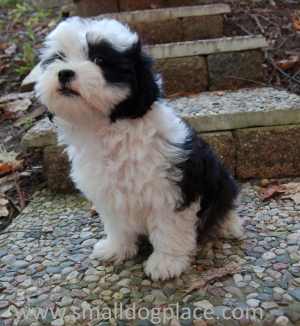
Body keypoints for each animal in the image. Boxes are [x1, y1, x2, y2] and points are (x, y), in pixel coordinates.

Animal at [34, 17, 243, 280]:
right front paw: (116, 248)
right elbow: (117, 225)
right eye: (59, 57)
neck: (109, 129)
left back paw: (228, 225)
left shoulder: (170, 189)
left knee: (224, 204)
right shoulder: (109, 194)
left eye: (99, 60)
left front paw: (166, 262)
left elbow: (169, 227)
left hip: (220, 181)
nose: (64, 73)